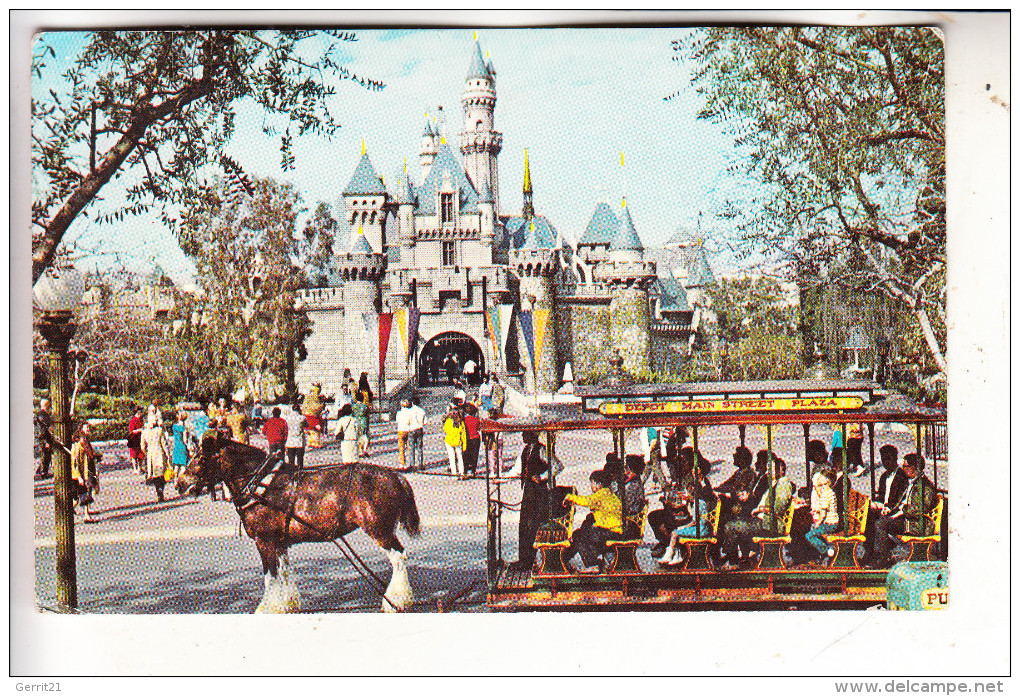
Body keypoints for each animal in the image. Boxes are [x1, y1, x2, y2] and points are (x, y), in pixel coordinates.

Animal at [177, 432, 420, 612]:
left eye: (201, 458)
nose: (180, 484)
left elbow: (270, 576)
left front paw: (267, 608)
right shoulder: (280, 543)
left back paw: (396, 600)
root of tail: (396, 476)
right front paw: (288, 604)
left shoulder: (264, 542)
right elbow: (284, 572)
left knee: (399, 557)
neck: (261, 485)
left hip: (380, 531)